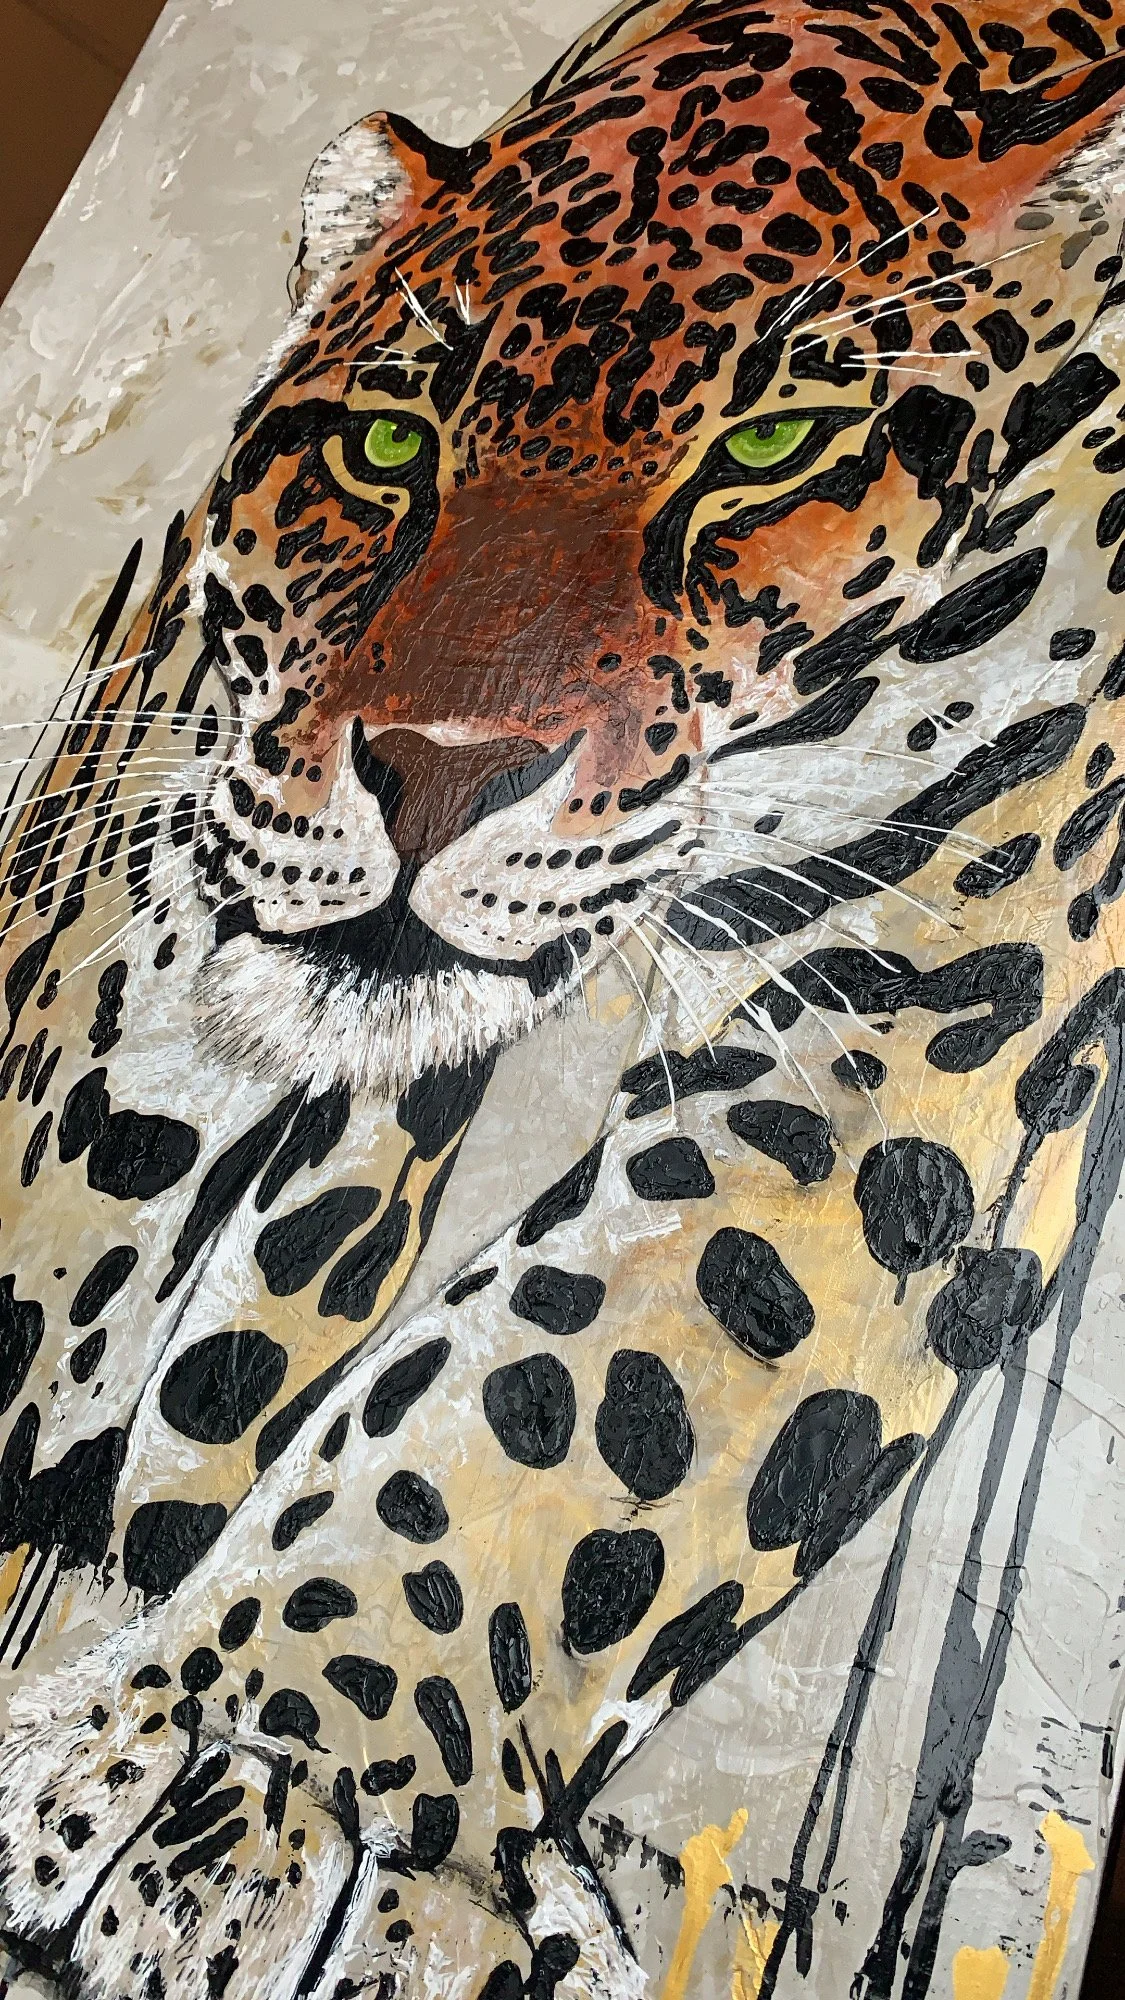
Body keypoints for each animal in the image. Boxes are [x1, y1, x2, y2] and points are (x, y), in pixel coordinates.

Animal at [0, 0, 1123, 1994]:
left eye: (773, 444)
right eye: (386, 443)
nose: (437, 777)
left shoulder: (932, 1003)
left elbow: (579, 1389)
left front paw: (254, 1789)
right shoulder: (162, 820)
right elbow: (70, 1166)